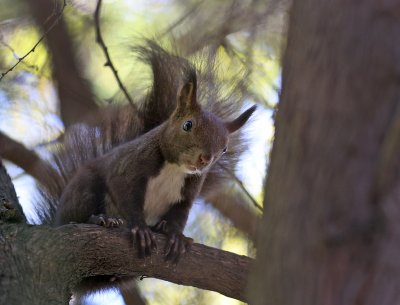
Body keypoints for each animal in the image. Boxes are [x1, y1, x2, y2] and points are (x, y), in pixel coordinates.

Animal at [36, 41, 255, 262]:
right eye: (188, 125)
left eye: (224, 148)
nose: (205, 159)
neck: (174, 168)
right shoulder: (130, 168)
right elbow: (127, 198)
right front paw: (140, 229)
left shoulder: (188, 192)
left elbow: (180, 215)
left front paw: (176, 235)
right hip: (84, 189)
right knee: (76, 216)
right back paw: (101, 219)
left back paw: (160, 227)